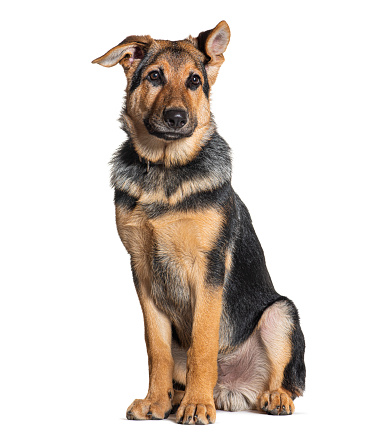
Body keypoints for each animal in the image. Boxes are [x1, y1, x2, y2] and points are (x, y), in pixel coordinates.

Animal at [91, 21, 306, 426]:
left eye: (194, 81)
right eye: (154, 77)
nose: (176, 118)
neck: (166, 169)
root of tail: (232, 390)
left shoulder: (208, 268)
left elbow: (202, 345)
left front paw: (196, 406)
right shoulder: (143, 271)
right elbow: (156, 350)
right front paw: (156, 402)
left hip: (281, 313)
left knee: (288, 380)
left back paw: (271, 398)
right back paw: (173, 398)